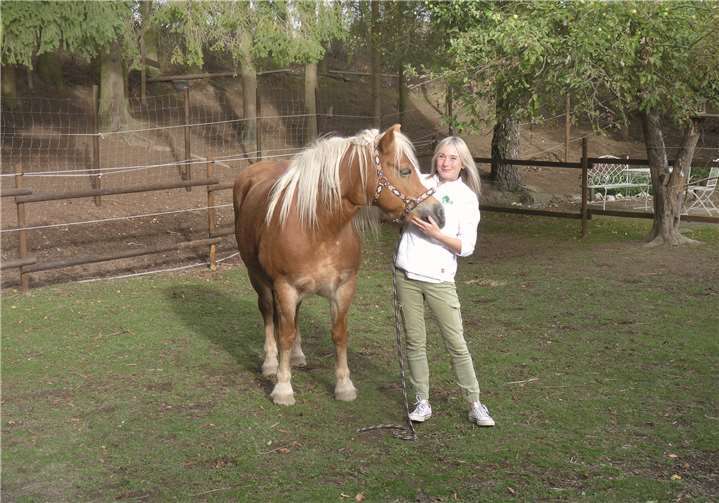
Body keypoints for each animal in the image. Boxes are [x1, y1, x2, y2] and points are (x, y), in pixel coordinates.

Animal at [233, 124, 445, 405]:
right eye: (404, 170)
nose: (438, 213)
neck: (318, 227)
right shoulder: (284, 287)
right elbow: (284, 335)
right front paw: (283, 387)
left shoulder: (344, 287)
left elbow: (339, 334)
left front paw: (344, 385)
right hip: (258, 278)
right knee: (268, 312)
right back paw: (269, 362)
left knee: (294, 317)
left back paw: (298, 356)